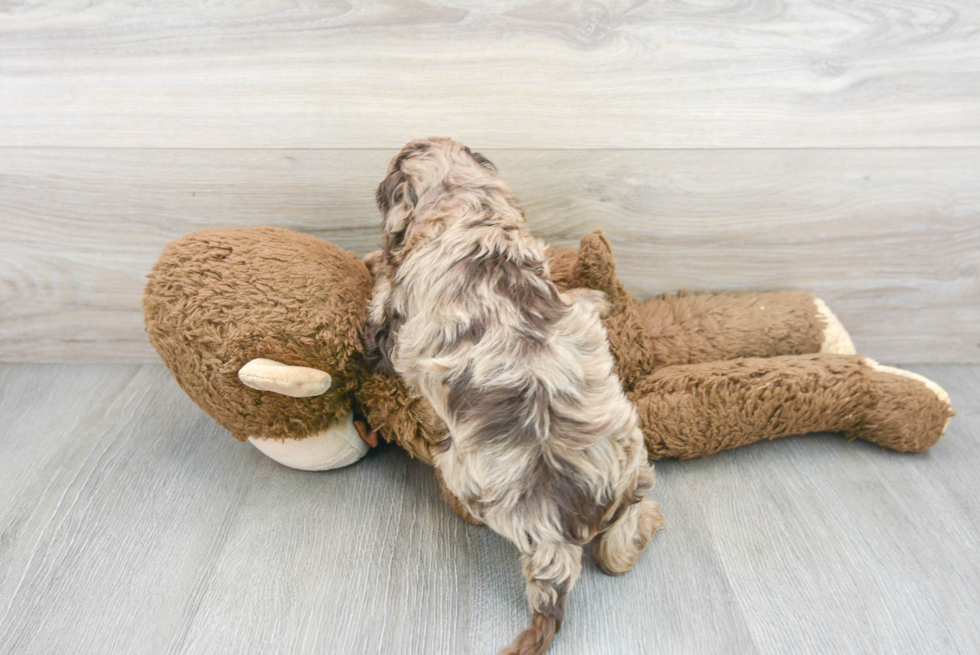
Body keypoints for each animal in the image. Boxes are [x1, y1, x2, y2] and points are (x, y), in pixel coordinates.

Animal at [364, 138, 664, 655]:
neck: (466, 211)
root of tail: (554, 534)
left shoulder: (392, 322)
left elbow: (382, 287)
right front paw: (598, 299)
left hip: (457, 466)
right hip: (632, 462)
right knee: (617, 551)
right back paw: (647, 523)